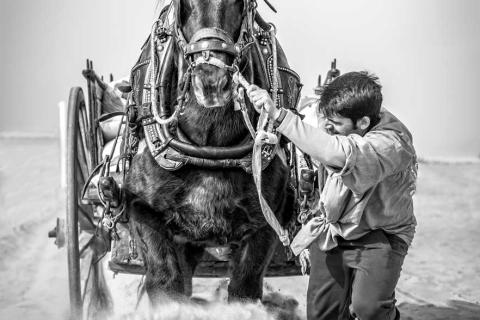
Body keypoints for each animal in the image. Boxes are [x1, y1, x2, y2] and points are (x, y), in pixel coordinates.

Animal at [124, 0, 302, 304]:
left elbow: (244, 290)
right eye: (182, 5)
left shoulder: (266, 223)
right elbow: (165, 284)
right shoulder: (144, 211)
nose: (211, 82)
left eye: (241, 4)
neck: (208, 148)